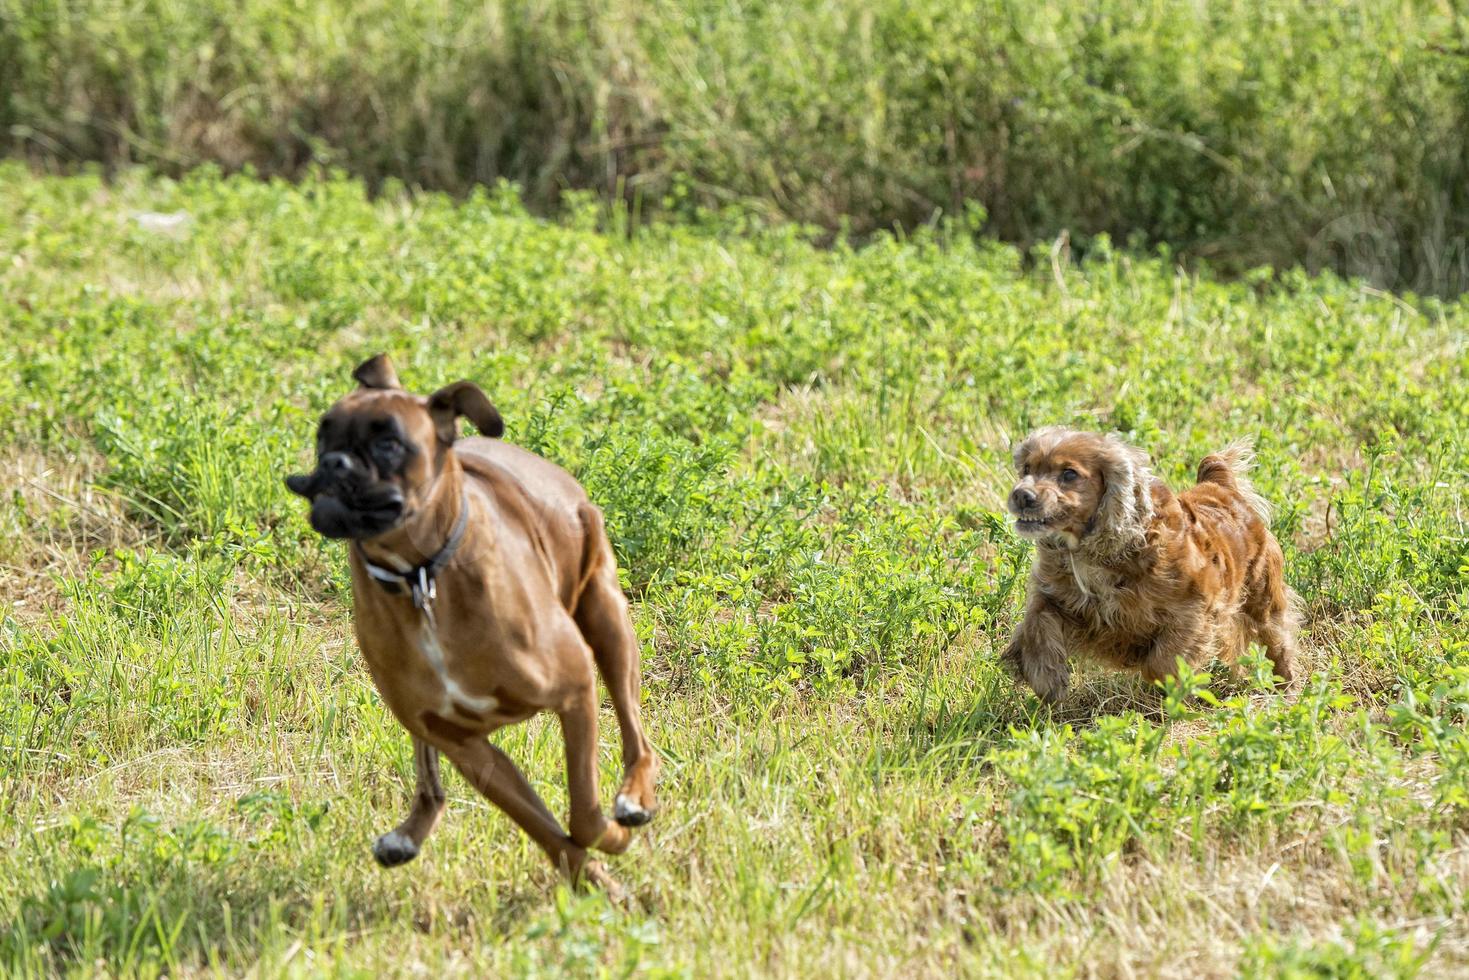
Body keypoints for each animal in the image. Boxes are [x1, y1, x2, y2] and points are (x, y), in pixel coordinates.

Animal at [282, 354, 661, 899]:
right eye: (323, 434)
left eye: (389, 443)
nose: (334, 463)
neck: (421, 578)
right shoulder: (473, 755)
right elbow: (550, 832)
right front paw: (595, 883)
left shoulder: (575, 691)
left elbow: (584, 816)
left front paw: (613, 838)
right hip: (421, 721)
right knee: (428, 782)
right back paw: (408, 834)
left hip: (607, 622)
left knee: (638, 739)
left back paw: (634, 800)